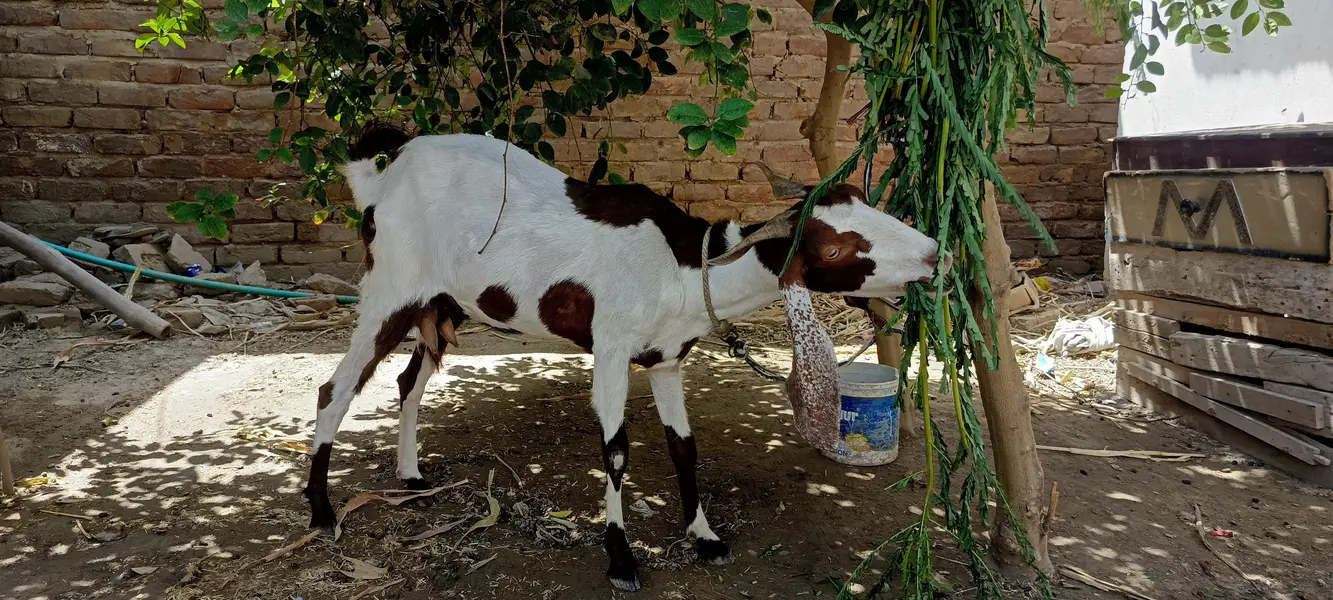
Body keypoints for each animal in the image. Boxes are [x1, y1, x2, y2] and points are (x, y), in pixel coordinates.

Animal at [304, 126, 945, 592]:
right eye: (835, 249)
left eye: (867, 205)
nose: (934, 253)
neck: (680, 267)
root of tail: (380, 184)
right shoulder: (611, 349)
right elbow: (615, 452)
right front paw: (621, 557)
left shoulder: (666, 360)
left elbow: (684, 449)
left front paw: (705, 537)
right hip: (389, 290)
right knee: (336, 389)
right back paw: (322, 514)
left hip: (442, 303)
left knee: (409, 381)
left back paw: (410, 475)